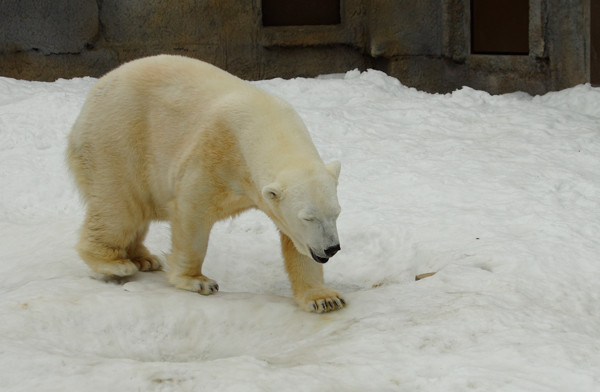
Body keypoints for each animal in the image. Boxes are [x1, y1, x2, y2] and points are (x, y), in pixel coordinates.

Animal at [66, 55, 344, 312]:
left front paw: (324, 298)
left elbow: (297, 244)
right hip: (118, 140)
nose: (332, 248)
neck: (266, 122)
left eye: (336, 213)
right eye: (308, 217)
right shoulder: (214, 152)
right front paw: (197, 281)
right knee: (120, 205)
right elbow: (193, 211)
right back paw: (115, 262)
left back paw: (144, 259)